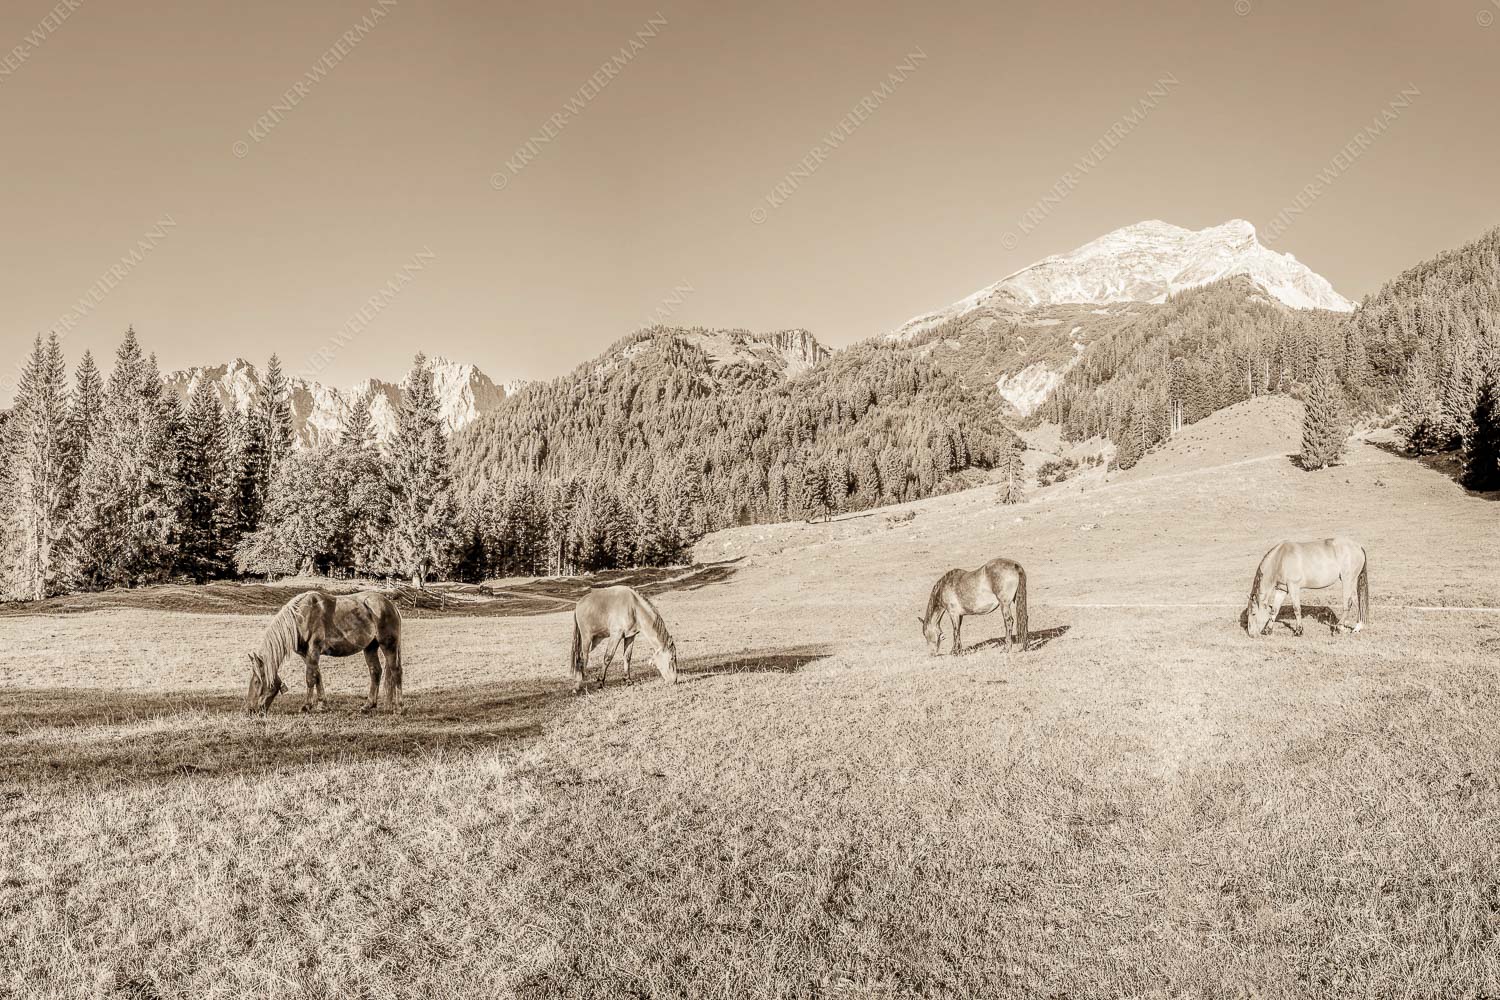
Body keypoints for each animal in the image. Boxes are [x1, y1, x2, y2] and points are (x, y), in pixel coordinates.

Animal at [245, 591, 404, 715]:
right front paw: (322, 705)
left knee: (396, 671)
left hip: (388, 646)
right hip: (370, 647)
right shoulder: (306, 654)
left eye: (257, 681)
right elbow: (317, 677)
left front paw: (306, 706)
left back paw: (399, 708)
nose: (250, 710)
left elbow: (310, 678)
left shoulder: (313, 650)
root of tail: (391, 606)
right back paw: (368, 706)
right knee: (375, 672)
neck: (301, 617)